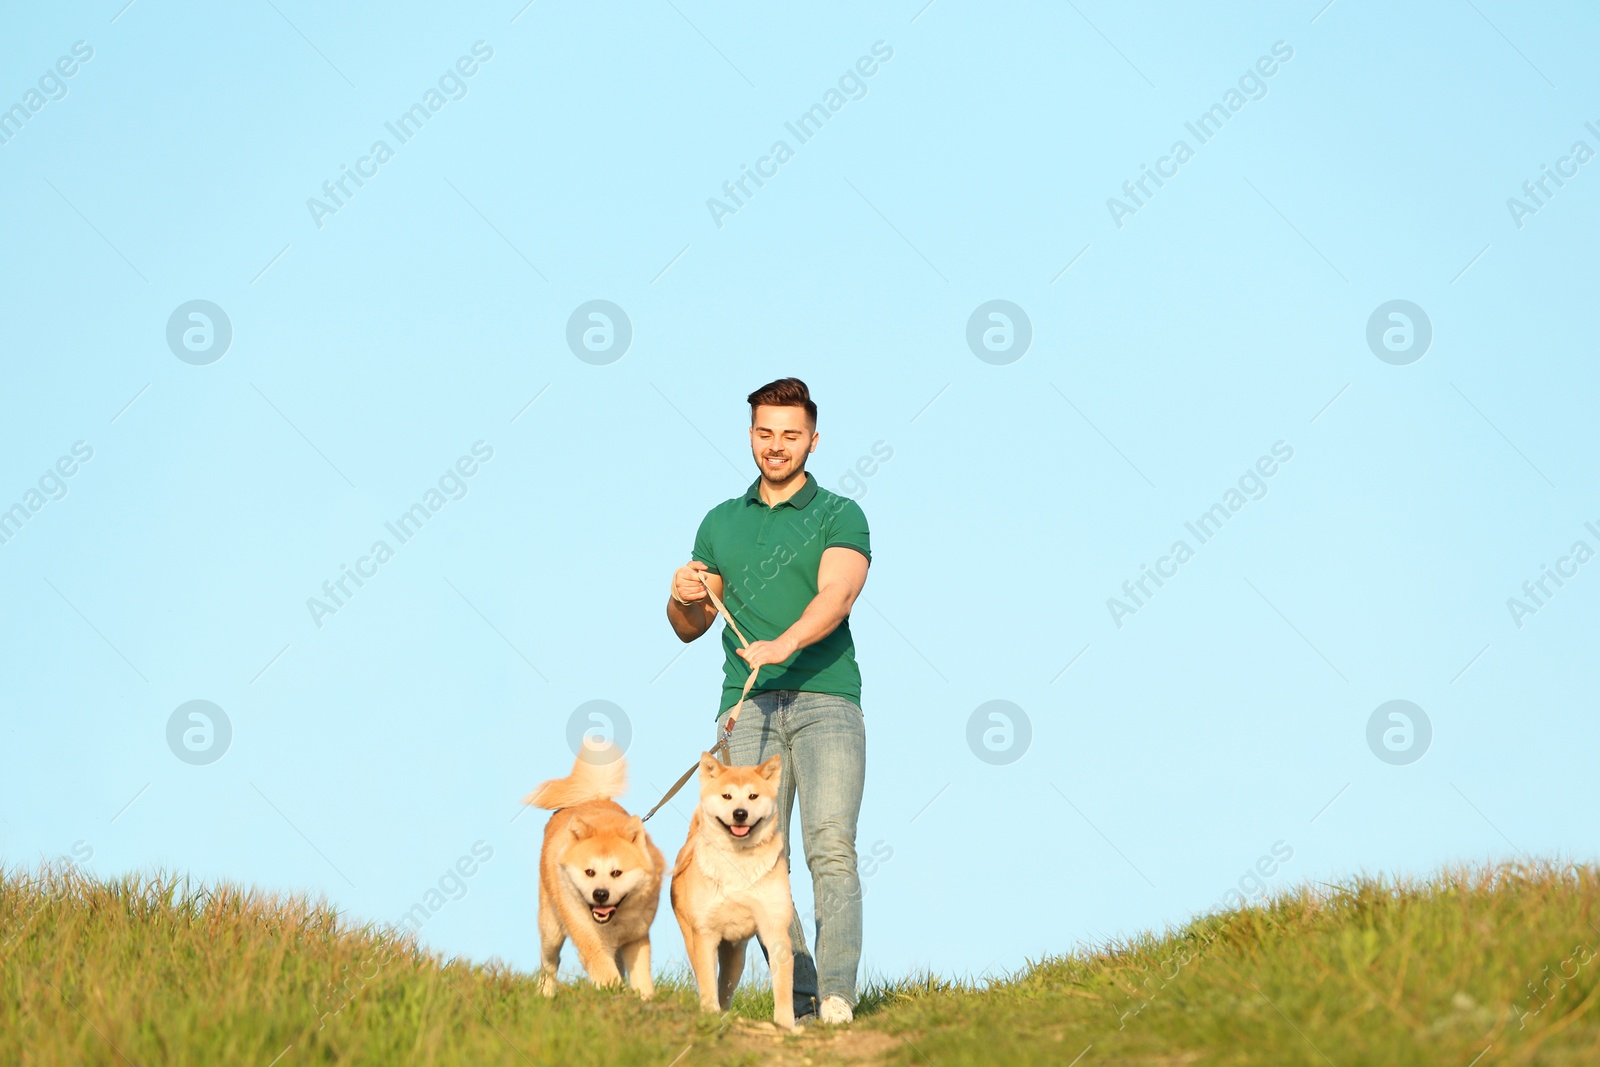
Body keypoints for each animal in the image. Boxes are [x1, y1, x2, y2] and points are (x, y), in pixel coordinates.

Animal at [524, 742, 662, 1004]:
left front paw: (644, 1000)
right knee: (549, 962)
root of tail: (592, 797)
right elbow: (606, 975)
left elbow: (641, 978)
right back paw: (544, 993)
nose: (600, 894)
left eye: (617, 872)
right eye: (589, 872)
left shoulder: (636, 938)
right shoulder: (588, 937)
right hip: (551, 928)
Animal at [665, 748, 796, 1030]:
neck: (738, 861)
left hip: (736, 957)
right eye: (727, 796)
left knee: (725, 988)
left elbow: (783, 985)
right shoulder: (704, 934)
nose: (739, 813)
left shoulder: (775, 929)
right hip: (694, 938)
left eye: (753, 796)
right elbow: (706, 982)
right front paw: (708, 1013)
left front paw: (785, 1024)